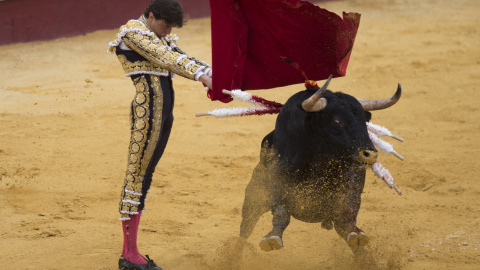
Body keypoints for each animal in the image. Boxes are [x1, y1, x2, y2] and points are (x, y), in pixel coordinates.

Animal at [240, 76, 402, 253]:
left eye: (364, 121)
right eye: (336, 121)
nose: (370, 154)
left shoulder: (350, 190)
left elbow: (348, 215)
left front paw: (357, 234)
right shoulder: (277, 186)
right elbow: (281, 213)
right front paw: (272, 238)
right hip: (254, 195)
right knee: (245, 228)